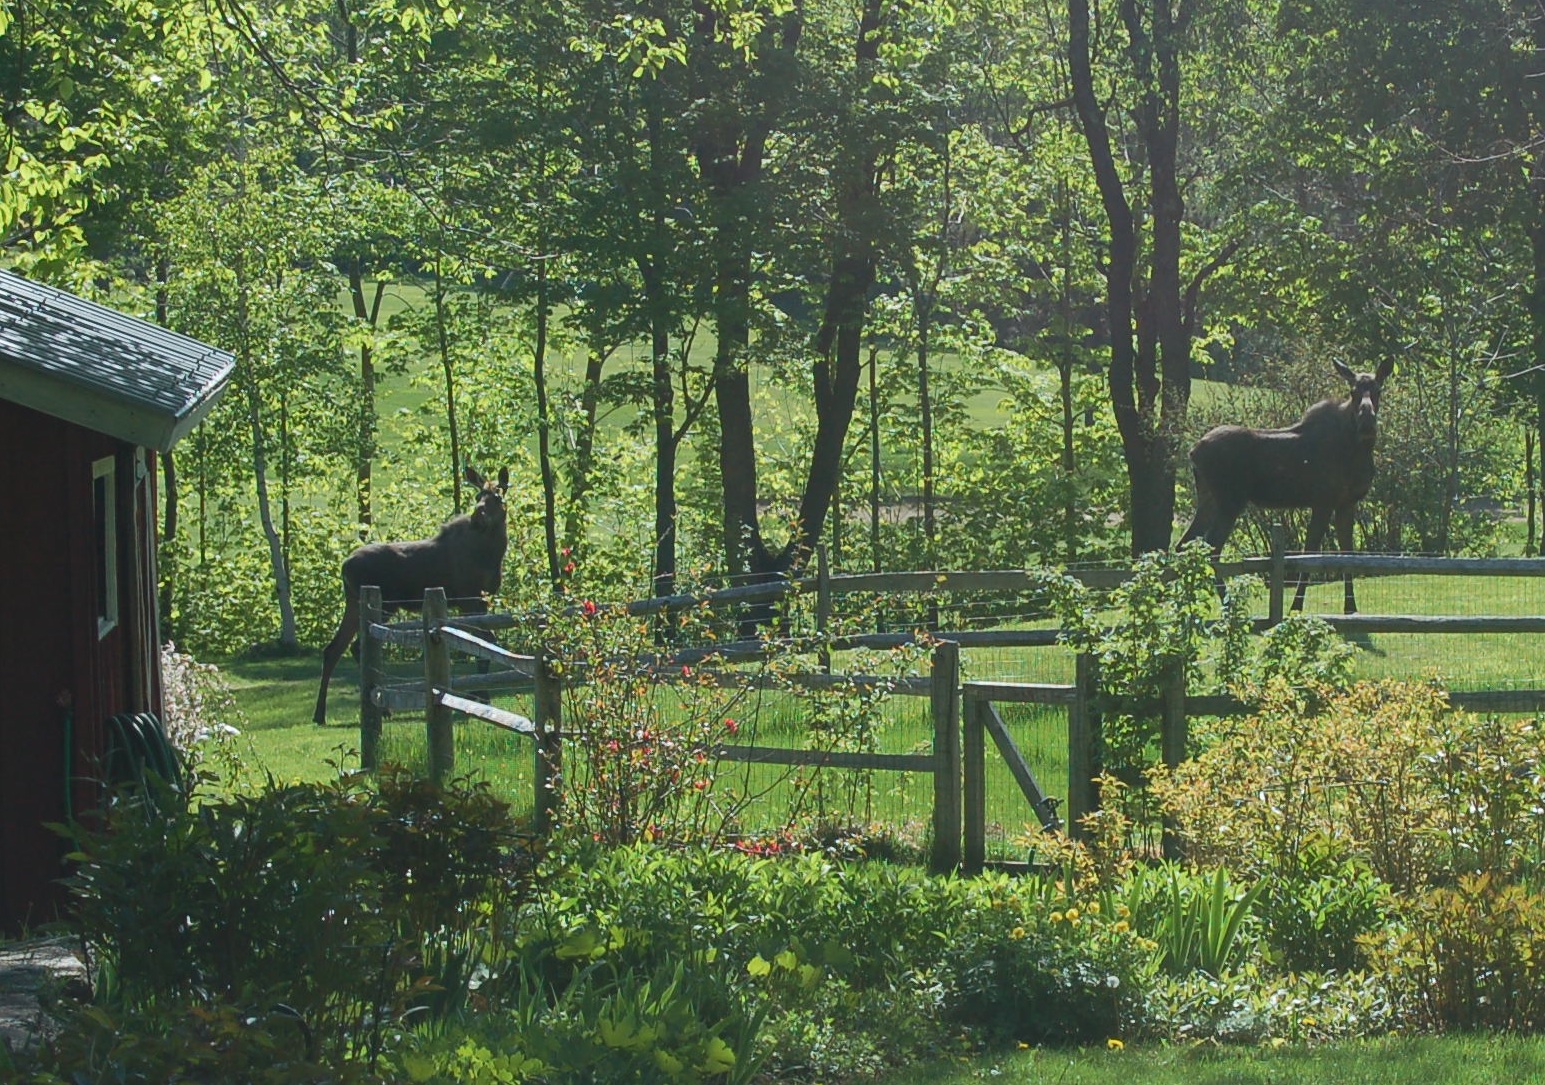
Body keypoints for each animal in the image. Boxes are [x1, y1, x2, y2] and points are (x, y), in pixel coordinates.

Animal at [313, 465, 509, 725]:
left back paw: (321, 713)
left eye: (497, 496)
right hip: (382, 605)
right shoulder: (469, 599)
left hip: (355, 604)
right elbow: (483, 645)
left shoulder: (481, 600)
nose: (478, 517)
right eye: (478, 495)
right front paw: (482, 698)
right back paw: (382, 708)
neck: (492, 554)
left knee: (334, 648)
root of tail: (344, 566)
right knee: (358, 646)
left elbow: (485, 643)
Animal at [1176, 357, 1394, 614]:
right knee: (1211, 549)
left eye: (1378, 390)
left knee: (1184, 545)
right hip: (1230, 501)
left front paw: (1350, 607)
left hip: (1208, 498)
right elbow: (1310, 554)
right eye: (1353, 392)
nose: (1367, 423)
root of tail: (1193, 452)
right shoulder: (1323, 501)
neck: (1357, 451)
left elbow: (1347, 553)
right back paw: (1227, 605)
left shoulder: (1346, 503)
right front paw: (1295, 607)